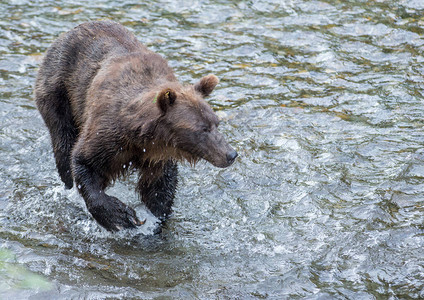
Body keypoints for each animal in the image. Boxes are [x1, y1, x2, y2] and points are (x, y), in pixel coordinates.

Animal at [34, 21, 237, 232]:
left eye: (216, 123)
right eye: (202, 129)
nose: (231, 154)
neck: (143, 137)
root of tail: (69, 31)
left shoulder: (157, 156)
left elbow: (159, 187)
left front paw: (155, 218)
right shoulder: (108, 134)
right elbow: (84, 162)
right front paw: (121, 216)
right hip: (59, 89)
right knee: (63, 140)